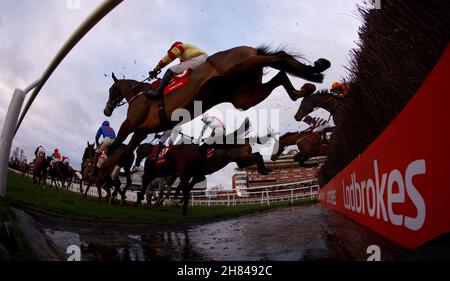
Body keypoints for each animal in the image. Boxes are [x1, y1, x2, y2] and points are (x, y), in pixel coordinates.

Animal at [104, 45, 330, 164]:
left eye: (111, 91)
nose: (106, 111)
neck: (138, 95)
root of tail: (248, 49)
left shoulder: (130, 124)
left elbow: (118, 142)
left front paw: (104, 160)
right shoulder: (141, 131)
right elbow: (127, 150)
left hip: (241, 66)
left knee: (279, 57)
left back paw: (317, 67)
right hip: (244, 96)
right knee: (281, 73)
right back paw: (305, 86)